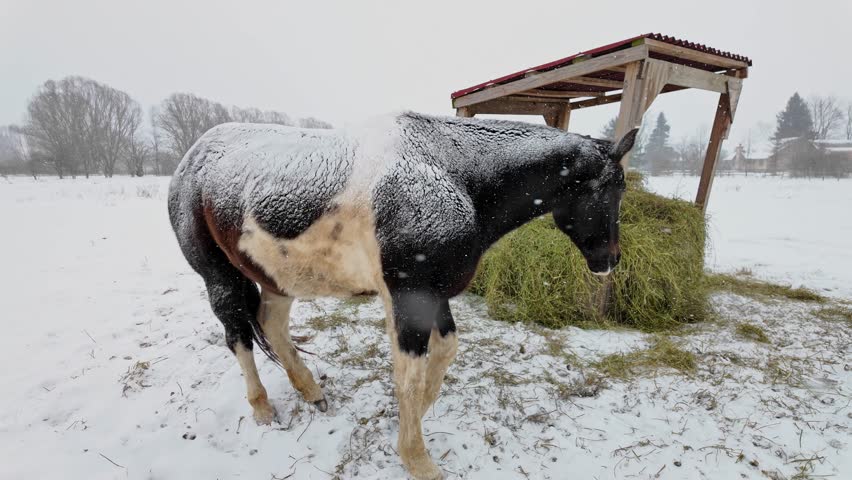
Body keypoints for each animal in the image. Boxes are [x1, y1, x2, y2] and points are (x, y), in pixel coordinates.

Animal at [167, 112, 637, 480]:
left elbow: (445, 352)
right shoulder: (409, 295)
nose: (610, 260)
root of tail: (191, 162)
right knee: (239, 337)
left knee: (272, 326)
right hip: (220, 278)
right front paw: (417, 459)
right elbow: (409, 376)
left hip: (277, 279)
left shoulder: (434, 294)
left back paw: (310, 391)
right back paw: (263, 408)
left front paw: (416, 418)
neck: (453, 173)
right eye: (613, 189)